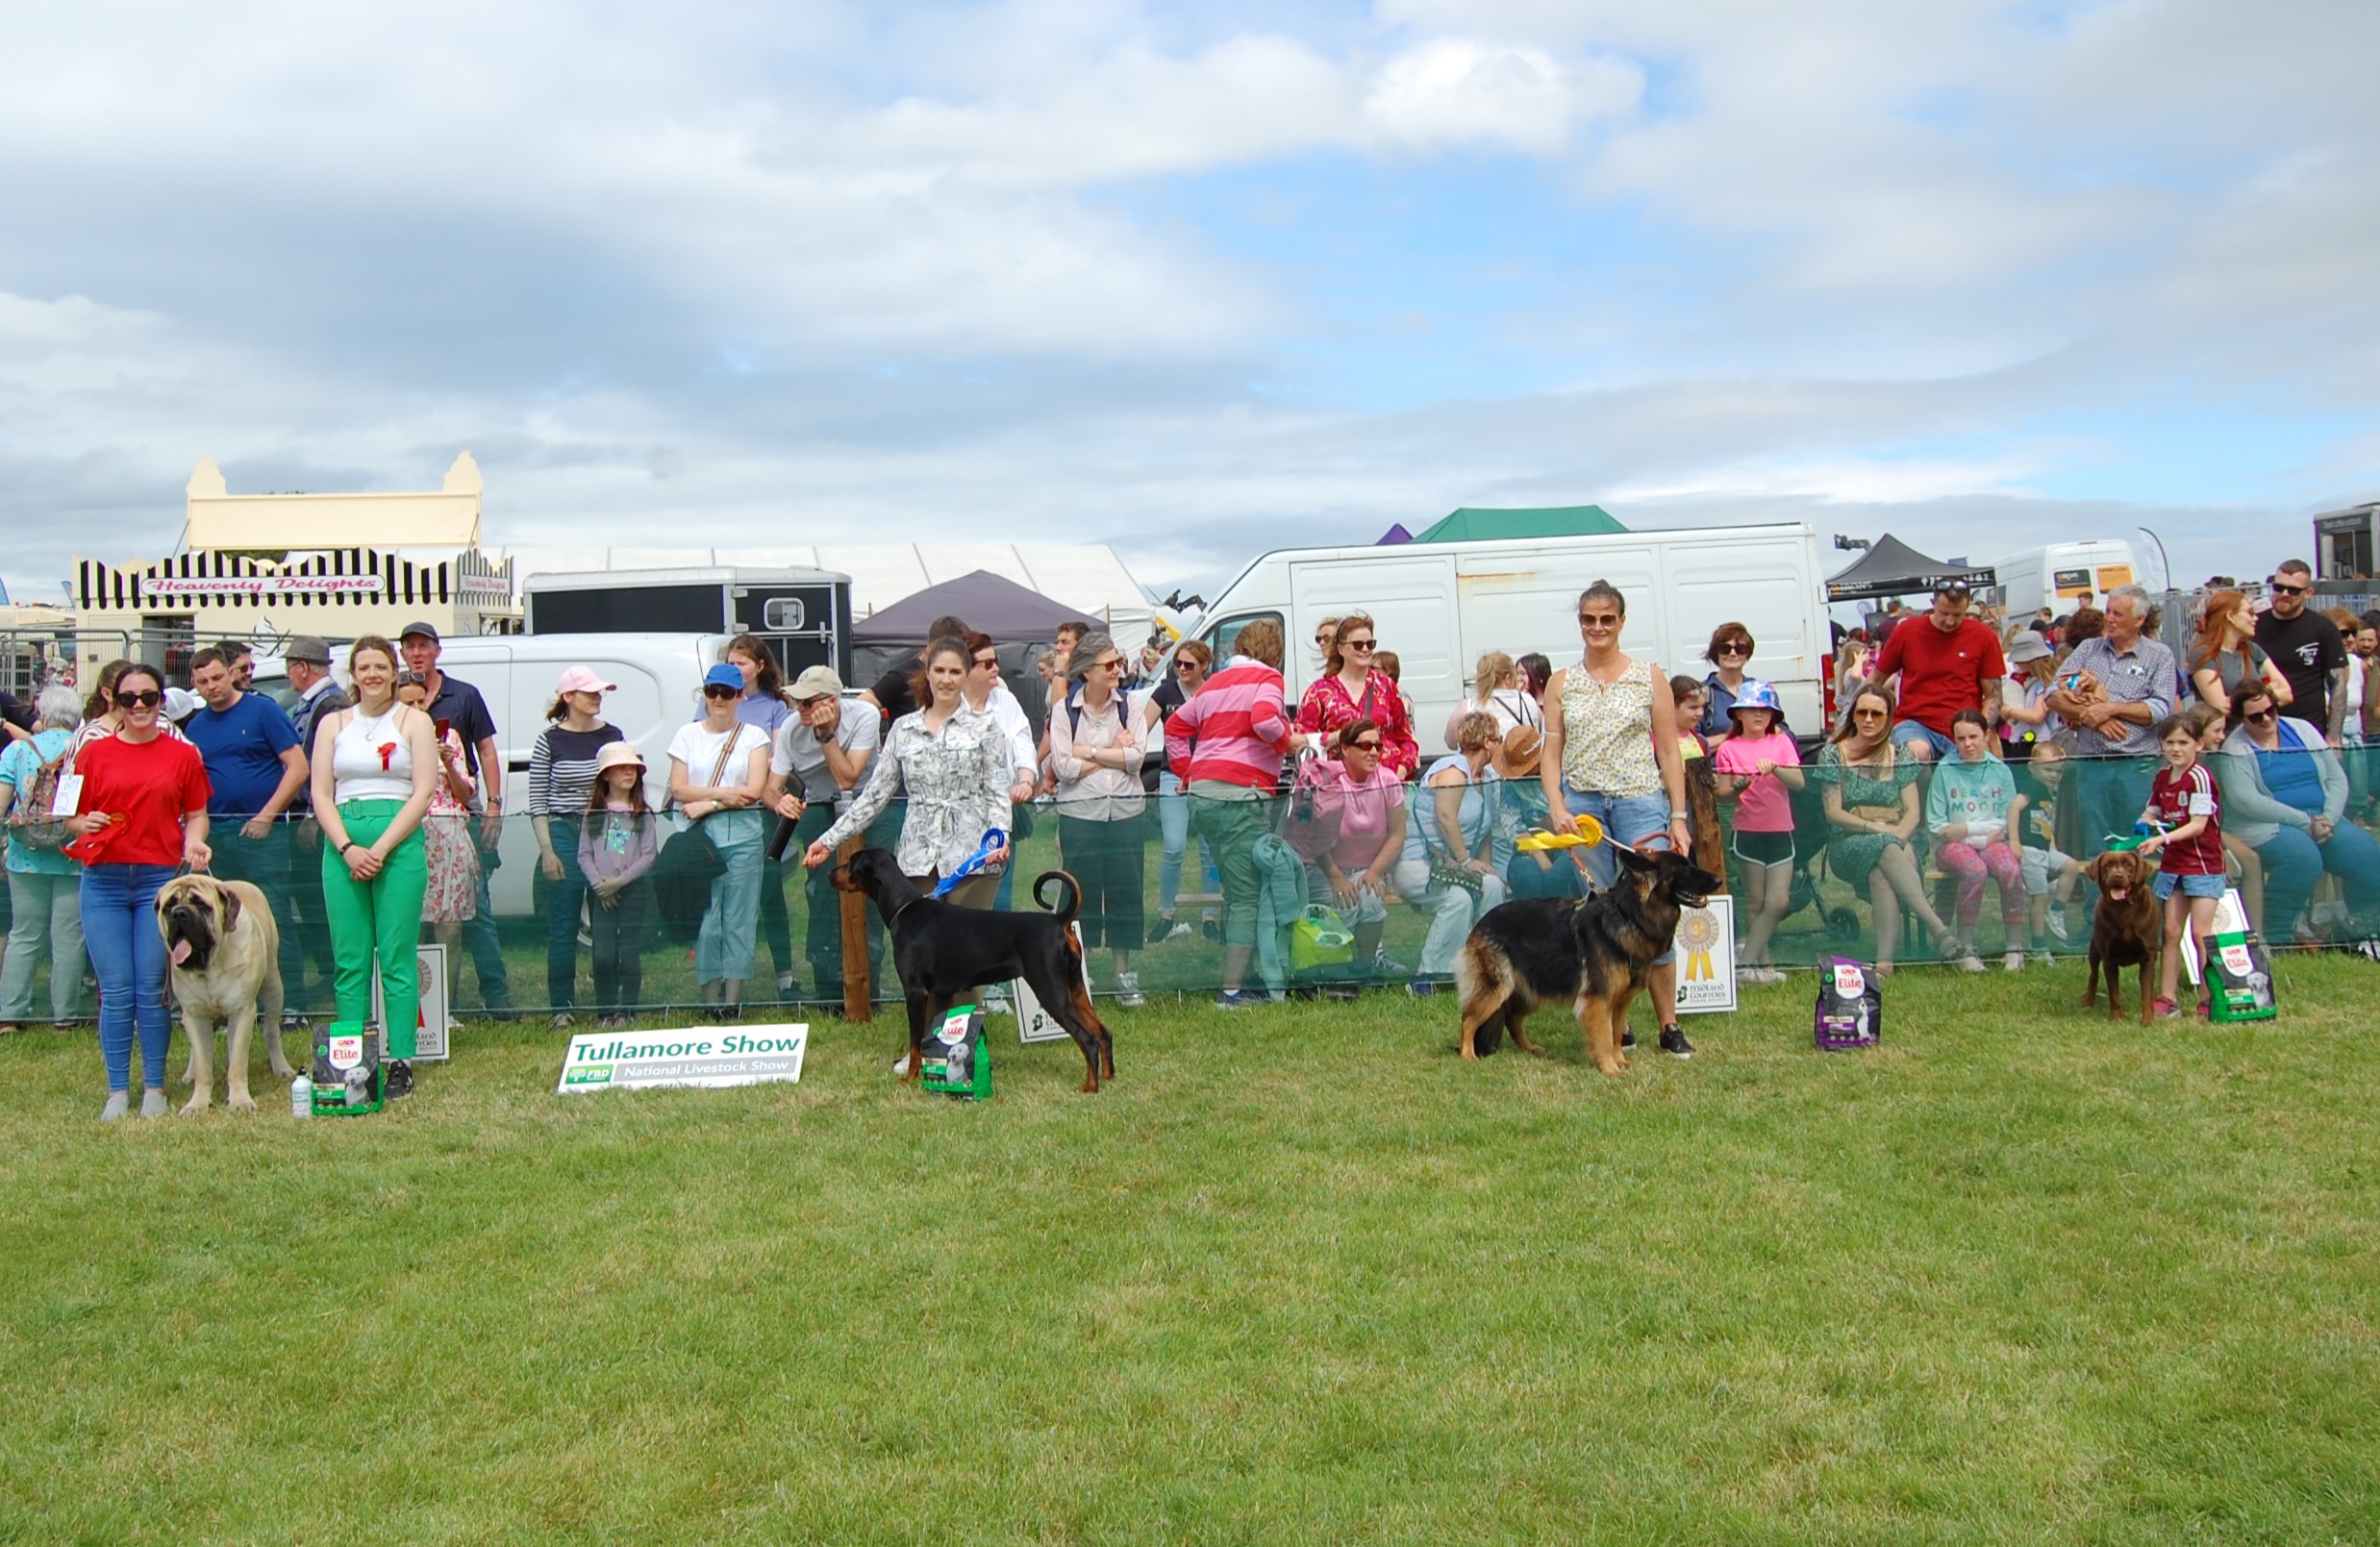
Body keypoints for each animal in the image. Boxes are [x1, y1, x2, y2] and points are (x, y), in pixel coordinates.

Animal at [155, 874, 290, 1114]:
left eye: (201, 904)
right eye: (168, 906)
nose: (179, 913)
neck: (209, 966)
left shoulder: (242, 1011)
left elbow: (237, 1062)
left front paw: (240, 1101)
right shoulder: (194, 1014)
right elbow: (203, 1062)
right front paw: (197, 1103)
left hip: (274, 986)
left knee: (271, 1032)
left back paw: (281, 1067)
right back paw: (190, 1074)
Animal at [832, 847, 1115, 1093]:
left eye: (850, 863)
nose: (831, 872)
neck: (904, 909)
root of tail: (1058, 921)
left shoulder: (915, 992)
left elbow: (914, 1043)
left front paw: (911, 1077)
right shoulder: (942, 993)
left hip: (1051, 992)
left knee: (1088, 1038)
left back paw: (1090, 1086)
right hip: (1075, 988)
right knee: (1104, 1032)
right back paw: (1108, 1078)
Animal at [1455, 844, 1722, 1075]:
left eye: (1690, 863)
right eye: (1683, 869)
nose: (1719, 881)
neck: (1629, 916)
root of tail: (1481, 921)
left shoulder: (1621, 1001)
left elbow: (1616, 1034)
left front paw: (1620, 1061)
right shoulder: (1598, 999)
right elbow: (1603, 1036)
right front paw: (1610, 1069)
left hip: (1529, 990)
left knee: (1512, 1018)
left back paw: (1530, 1049)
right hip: (1497, 988)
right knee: (1468, 1020)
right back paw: (1468, 1055)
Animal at [2081, 847, 2161, 1024]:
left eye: (2128, 865)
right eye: (2107, 866)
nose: (2117, 876)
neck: (2124, 908)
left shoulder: (2148, 957)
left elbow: (2147, 993)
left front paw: (2147, 1021)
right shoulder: (2109, 958)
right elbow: (2114, 994)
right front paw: (2117, 1019)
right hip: (2094, 949)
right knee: (2093, 975)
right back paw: (2088, 1002)